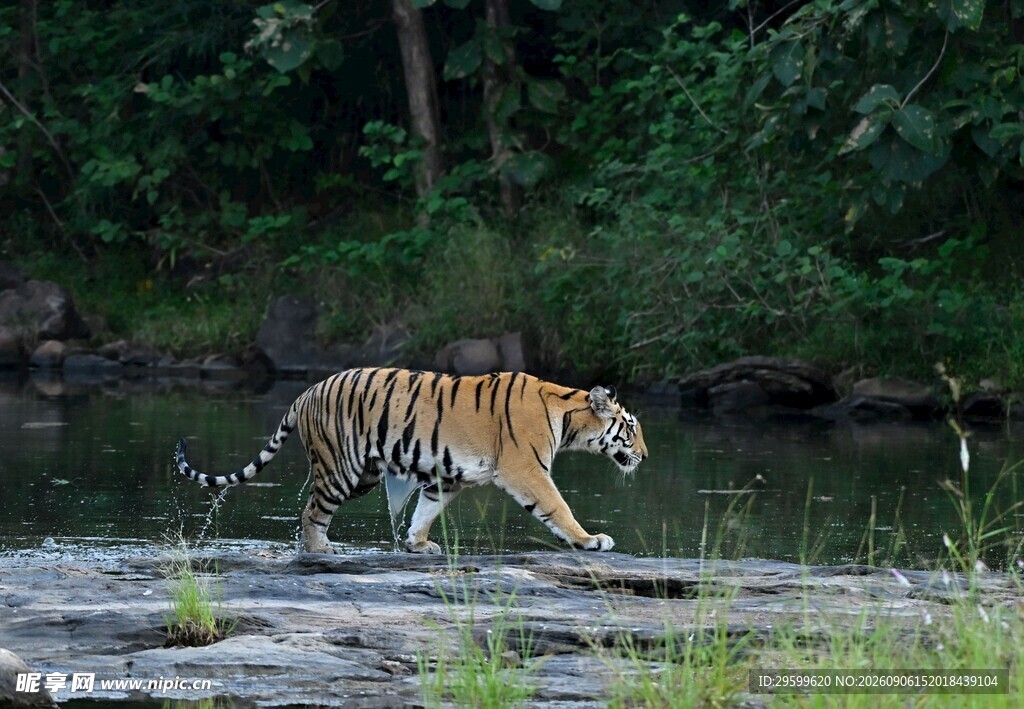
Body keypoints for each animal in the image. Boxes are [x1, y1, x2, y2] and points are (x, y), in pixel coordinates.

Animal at [175, 367, 648, 554]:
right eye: (631, 427)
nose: (644, 455)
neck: (568, 416)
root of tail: (306, 391)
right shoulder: (526, 469)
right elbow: (558, 507)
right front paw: (590, 540)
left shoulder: (447, 475)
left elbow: (426, 509)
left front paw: (418, 544)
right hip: (342, 469)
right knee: (311, 511)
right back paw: (320, 550)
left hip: (364, 473)